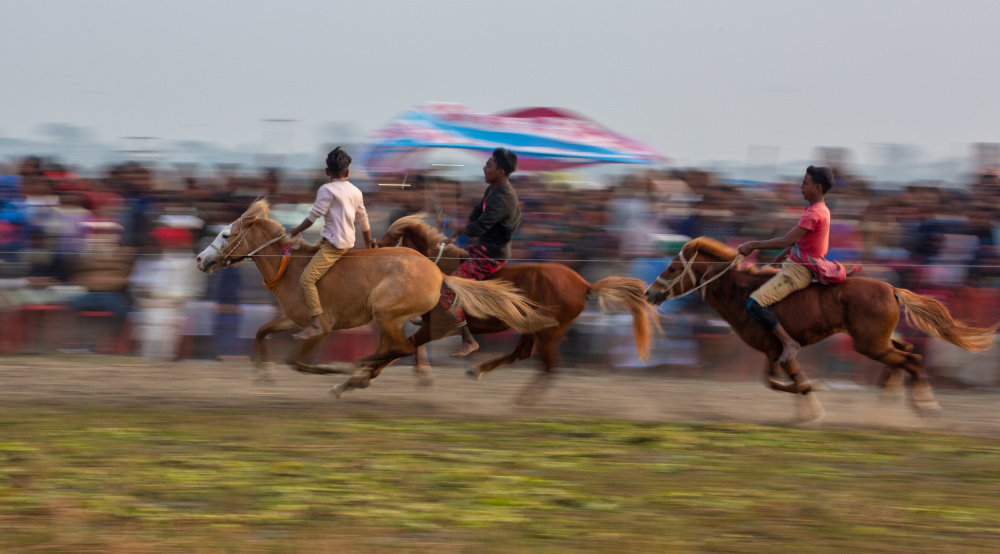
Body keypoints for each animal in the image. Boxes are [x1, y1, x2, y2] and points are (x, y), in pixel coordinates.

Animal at [195, 201, 556, 394]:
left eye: (225, 234)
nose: (200, 259)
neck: (292, 269)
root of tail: (438, 272)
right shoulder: (291, 318)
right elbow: (261, 332)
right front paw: (262, 373)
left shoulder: (321, 326)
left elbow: (297, 362)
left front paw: (330, 370)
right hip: (391, 319)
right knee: (398, 348)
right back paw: (360, 375)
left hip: (388, 314)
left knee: (401, 348)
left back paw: (356, 372)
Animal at [372, 212, 660, 402]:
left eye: (392, 237)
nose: (373, 246)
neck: (440, 269)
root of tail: (584, 284)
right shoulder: (426, 323)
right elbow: (410, 345)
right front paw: (421, 375)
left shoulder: (437, 326)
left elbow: (405, 346)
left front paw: (373, 372)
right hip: (532, 328)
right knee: (523, 354)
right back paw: (478, 370)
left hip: (549, 332)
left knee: (549, 367)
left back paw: (522, 402)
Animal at [644, 235, 996, 420]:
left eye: (673, 268)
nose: (649, 294)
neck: (742, 293)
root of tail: (892, 289)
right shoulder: (772, 351)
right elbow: (775, 382)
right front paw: (809, 402)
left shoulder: (778, 349)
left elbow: (789, 380)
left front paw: (813, 406)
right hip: (877, 341)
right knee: (906, 352)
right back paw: (889, 397)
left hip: (869, 344)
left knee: (913, 360)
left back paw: (924, 403)